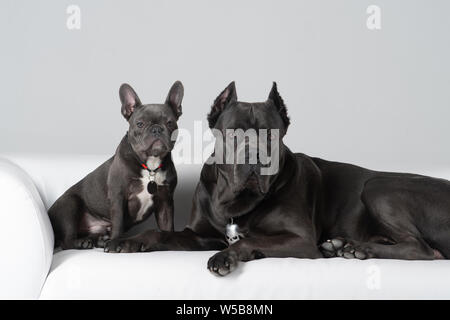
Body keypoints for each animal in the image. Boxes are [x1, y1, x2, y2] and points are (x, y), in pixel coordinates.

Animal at [48, 80, 183, 250]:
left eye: (170, 123)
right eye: (140, 124)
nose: (156, 129)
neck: (150, 166)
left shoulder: (165, 202)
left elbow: (167, 227)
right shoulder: (118, 196)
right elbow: (118, 223)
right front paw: (114, 244)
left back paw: (99, 240)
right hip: (70, 204)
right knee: (67, 241)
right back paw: (83, 242)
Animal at [103, 80, 448, 276]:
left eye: (271, 134)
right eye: (233, 132)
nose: (254, 155)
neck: (235, 201)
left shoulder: (300, 239)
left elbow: (251, 239)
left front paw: (225, 257)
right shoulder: (199, 235)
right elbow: (161, 234)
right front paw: (127, 241)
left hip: (377, 187)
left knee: (422, 249)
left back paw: (355, 248)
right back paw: (347, 246)